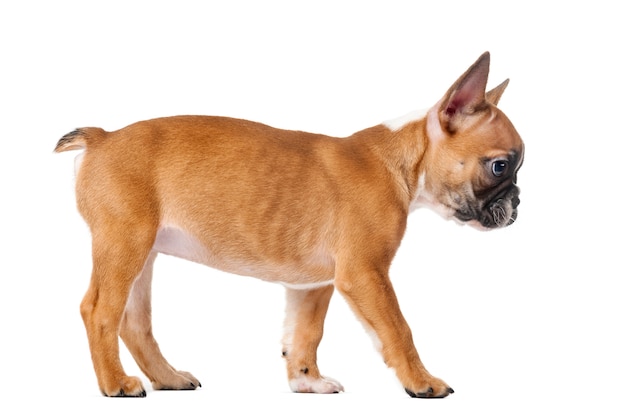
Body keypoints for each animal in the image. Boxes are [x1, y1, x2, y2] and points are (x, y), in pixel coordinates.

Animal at [54, 51, 520, 398]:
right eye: (500, 166)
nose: (518, 201)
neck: (405, 160)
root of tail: (103, 136)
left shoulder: (313, 286)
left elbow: (305, 333)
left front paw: (306, 381)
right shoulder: (366, 275)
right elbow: (398, 329)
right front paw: (422, 382)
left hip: (143, 255)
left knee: (134, 323)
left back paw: (166, 378)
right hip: (124, 245)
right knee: (99, 311)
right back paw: (115, 383)